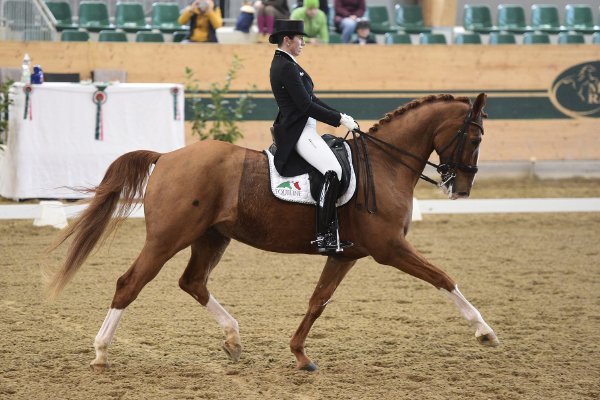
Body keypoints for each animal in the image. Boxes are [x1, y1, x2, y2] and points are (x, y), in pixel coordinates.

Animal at [48, 93, 496, 372]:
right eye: (475, 136)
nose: (462, 189)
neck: (385, 165)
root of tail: (168, 156)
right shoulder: (390, 248)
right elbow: (443, 277)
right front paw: (485, 332)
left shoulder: (345, 254)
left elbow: (318, 301)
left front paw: (300, 355)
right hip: (166, 239)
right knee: (130, 283)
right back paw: (101, 352)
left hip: (212, 237)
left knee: (193, 282)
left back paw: (233, 340)